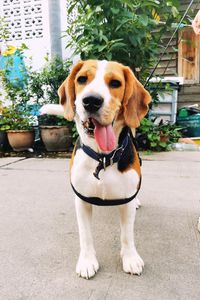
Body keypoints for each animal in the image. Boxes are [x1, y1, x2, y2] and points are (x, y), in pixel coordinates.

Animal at [41, 60, 151, 278]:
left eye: (115, 83)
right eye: (82, 79)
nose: (91, 101)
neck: (104, 157)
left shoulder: (126, 201)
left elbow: (127, 234)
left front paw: (130, 258)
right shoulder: (82, 200)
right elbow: (85, 235)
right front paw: (87, 261)